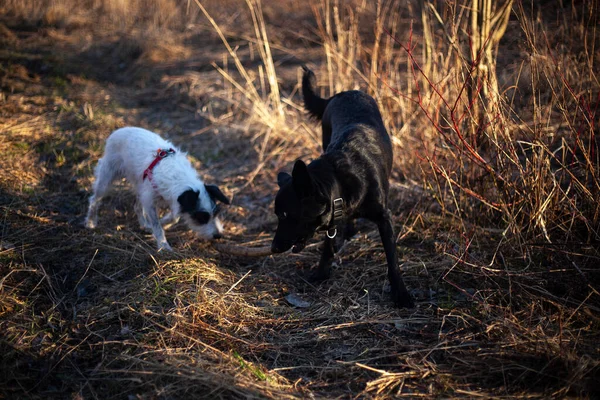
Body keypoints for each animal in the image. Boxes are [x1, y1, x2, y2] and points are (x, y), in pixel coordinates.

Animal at [82, 126, 227, 250]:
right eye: (201, 217)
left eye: (216, 213)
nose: (218, 235)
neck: (179, 177)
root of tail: (119, 130)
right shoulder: (150, 200)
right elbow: (157, 226)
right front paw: (163, 245)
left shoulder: (170, 199)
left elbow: (173, 217)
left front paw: (163, 222)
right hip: (107, 178)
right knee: (94, 199)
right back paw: (90, 222)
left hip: (140, 185)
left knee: (137, 206)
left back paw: (144, 224)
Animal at [270, 67, 412, 308]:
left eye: (286, 215)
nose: (273, 248)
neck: (339, 179)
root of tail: (343, 93)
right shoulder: (332, 217)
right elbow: (328, 244)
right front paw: (322, 272)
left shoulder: (384, 218)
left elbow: (392, 258)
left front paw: (401, 294)